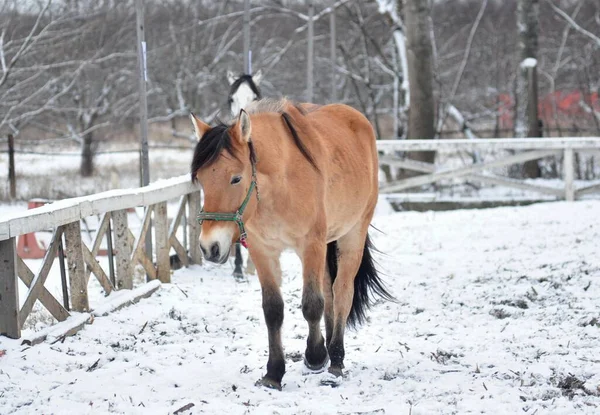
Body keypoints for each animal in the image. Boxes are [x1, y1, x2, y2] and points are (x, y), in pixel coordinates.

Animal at [189, 99, 394, 392]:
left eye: (236, 178)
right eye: (202, 179)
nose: (210, 247)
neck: (279, 186)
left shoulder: (311, 245)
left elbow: (312, 304)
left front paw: (315, 357)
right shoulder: (263, 250)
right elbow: (273, 309)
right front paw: (274, 372)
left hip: (352, 234)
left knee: (342, 292)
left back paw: (336, 360)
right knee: (329, 292)